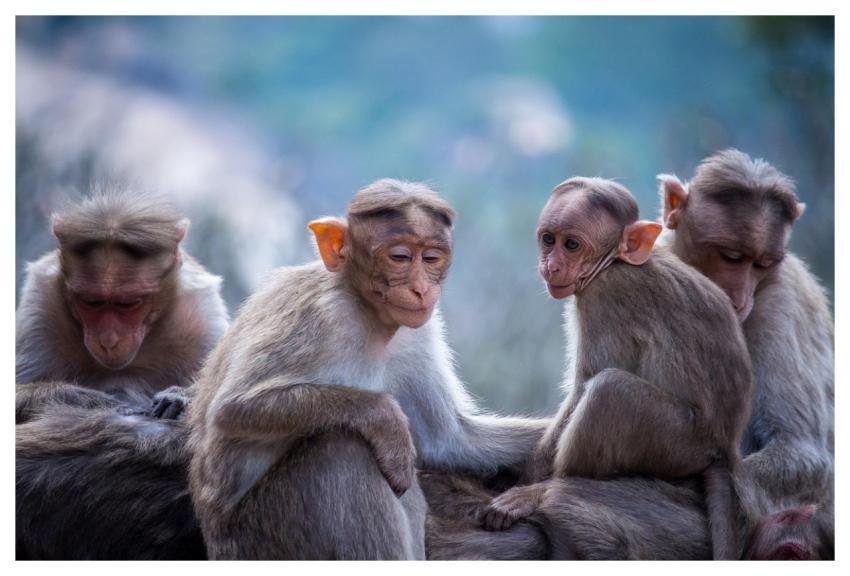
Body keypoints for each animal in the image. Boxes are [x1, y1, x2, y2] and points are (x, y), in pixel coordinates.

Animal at [15, 190, 229, 422]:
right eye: (91, 301)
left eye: (128, 303)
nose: (108, 342)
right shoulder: (39, 307)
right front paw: (90, 401)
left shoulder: (202, 315)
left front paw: (180, 397)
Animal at [188, 179, 548, 560]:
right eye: (400, 257)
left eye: (432, 258)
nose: (422, 289)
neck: (367, 313)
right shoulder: (318, 315)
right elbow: (232, 409)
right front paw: (385, 418)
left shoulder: (419, 334)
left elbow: (449, 440)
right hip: (262, 537)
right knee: (342, 450)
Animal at [471, 177, 754, 560]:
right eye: (549, 239)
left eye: (572, 244)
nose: (552, 265)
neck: (615, 263)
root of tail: (725, 447)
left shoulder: (604, 296)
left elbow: (585, 384)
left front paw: (526, 483)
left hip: (678, 441)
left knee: (610, 390)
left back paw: (543, 494)